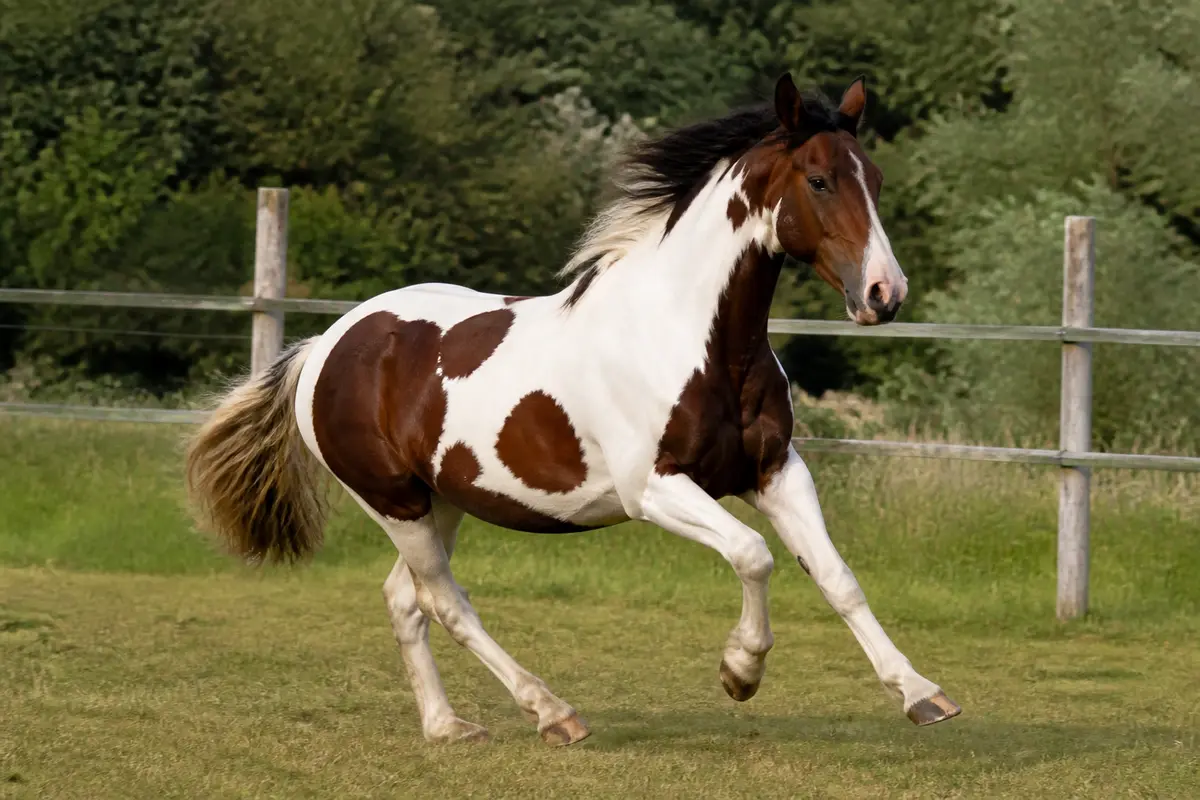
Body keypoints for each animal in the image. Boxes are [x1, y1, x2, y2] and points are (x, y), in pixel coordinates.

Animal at [185, 72, 961, 746]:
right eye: (819, 180)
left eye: (876, 181)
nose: (885, 294)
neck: (692, 337)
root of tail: (327, 344)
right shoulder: (654, 488)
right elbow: (753, 554)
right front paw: (740, 672)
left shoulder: (776, 472)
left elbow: (837, 578)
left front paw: (923, 695)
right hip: (393, 501)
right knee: (446, 602)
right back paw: (553, 713)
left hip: (444, 501)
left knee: (405, 600)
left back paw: (448, 728)